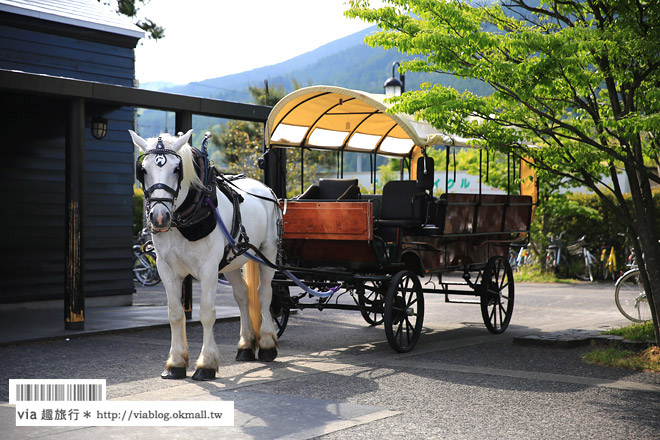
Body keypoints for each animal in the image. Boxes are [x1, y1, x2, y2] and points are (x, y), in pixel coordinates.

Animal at [130, 129, 282, 380]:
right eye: (143, 170)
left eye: (176, 169)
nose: (159, 217)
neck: (185, 218)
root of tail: (264, 187)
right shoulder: (166, 269)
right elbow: (175, 313)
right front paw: (175, 363)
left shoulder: (209, 268)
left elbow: (207, 313)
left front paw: (206, 364)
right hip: (231, 262)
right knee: (242, 295)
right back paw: (246, 345)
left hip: (267, 251)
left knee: (264, 293)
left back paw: (267, 343)